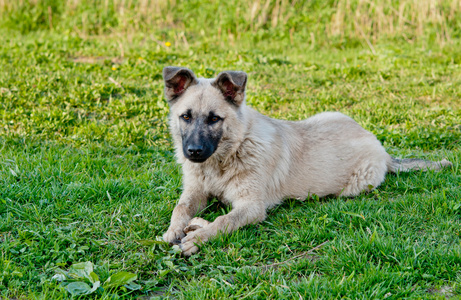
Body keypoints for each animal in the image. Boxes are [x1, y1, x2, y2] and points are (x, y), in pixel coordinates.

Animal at [160, 66, 452, 255]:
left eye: (214, 119)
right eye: (186, 116)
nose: (193, 152)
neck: (227, 155)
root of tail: (381, 149)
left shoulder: (252, 206)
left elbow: (225, 220)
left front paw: (199, 237)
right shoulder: (196, 190)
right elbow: (180, 207)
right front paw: (175, 229)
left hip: (352, 187)